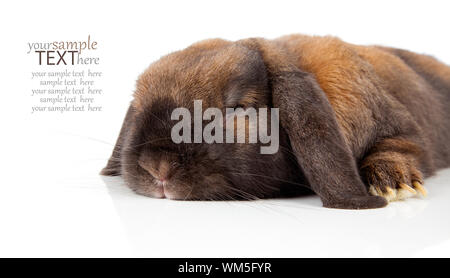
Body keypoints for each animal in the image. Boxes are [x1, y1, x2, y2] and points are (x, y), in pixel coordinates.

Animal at [101, 34, 450, 208]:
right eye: (139, 107)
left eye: (239, 108)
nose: (156, 166)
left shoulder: (405, 132)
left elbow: (401, 149)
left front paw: (395, 187)